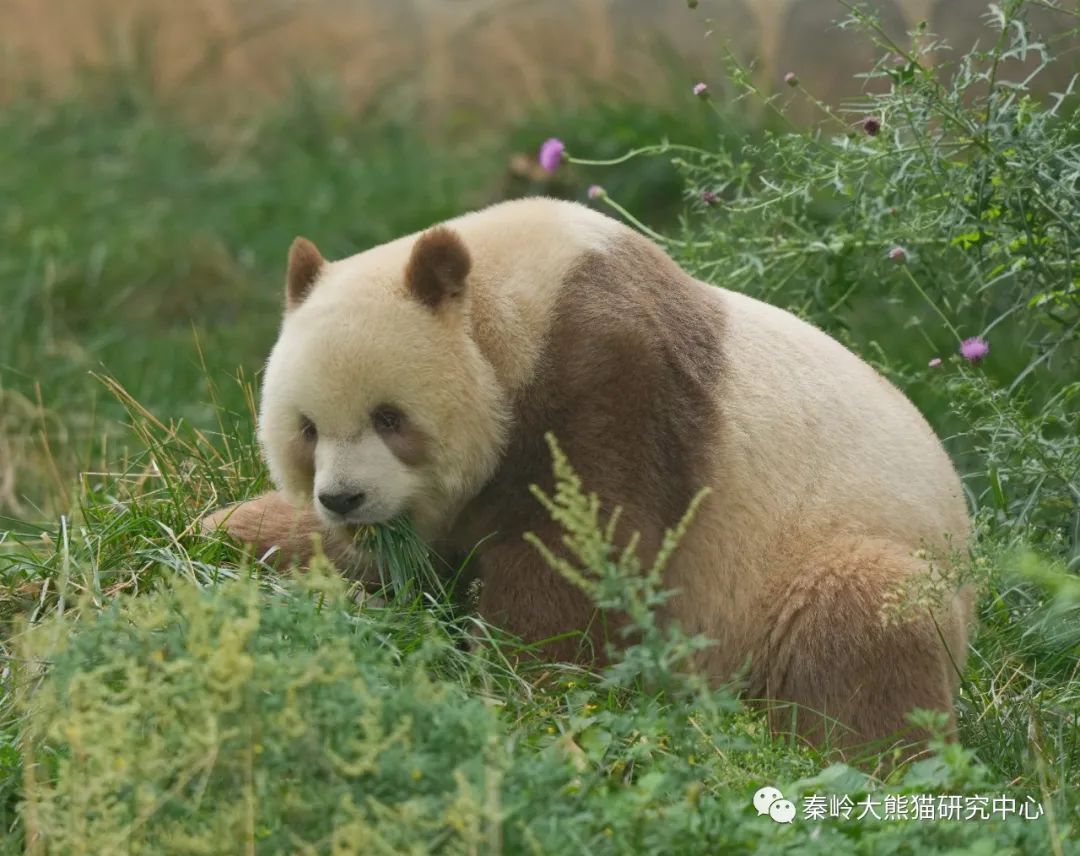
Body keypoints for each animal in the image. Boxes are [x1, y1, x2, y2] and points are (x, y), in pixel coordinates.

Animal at [202, 197, 973, 755]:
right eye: (307, 429)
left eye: (390, 417)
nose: (344, 497)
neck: (515, 305)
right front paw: (226, 528)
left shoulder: (610, 381)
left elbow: (579, 557)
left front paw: (519, 687)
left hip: (827, 555)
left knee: (860, 623)